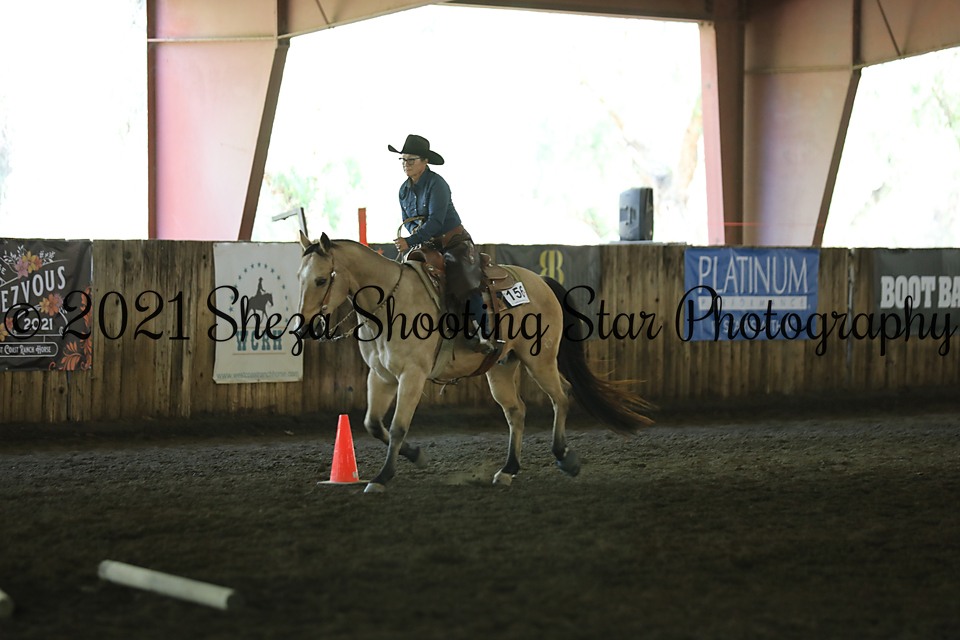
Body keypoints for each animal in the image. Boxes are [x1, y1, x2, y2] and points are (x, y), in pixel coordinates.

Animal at [296, 232, 651, 493]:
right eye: (299, 277)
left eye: (321, 280)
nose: (303, 327)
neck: (390, 302)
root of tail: (540, 280)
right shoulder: (380, 376)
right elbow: (373, 424)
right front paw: (417, 457)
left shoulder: (412, 375)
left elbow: (397, 426)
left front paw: (382, 478)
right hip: (502, 367)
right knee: (516, 411)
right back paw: (508, 470)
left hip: (539, 358)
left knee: (561, 395)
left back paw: (565, 458)